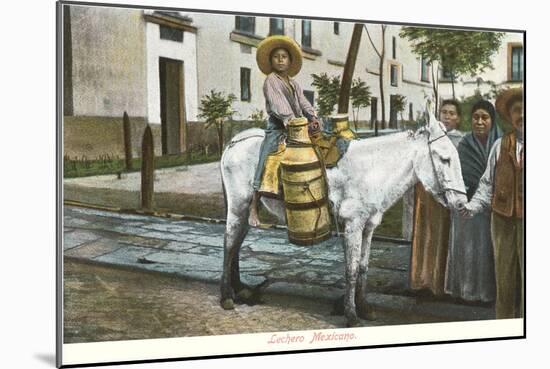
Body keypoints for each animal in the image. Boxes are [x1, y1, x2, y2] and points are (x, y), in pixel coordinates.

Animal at [218, 109, 468, 324]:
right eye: (445, 159)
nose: (461, 203)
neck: (372, 169)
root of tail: (234, 142)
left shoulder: (369, 226)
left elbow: (363, 267)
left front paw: (364, 308)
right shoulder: (353, 225)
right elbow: (351, 269)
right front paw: (351, 314)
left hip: (246, 208)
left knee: (237, 242)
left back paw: (240, 289)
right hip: (238, 205)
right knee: (229, 243)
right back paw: (226, 297)